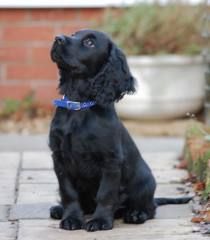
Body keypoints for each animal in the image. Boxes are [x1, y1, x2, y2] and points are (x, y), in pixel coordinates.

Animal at [48, 29, 190, 232]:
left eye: (89, 42)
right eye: (74, 34)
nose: (57, 38)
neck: (79, 106)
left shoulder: (111, 160)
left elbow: (105, 193)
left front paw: (100, 221)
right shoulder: (59, 158)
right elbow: (68, 192)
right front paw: (72, 218)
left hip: (145, 181)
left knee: (150, 208)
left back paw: (136, 214)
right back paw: (60, 209)